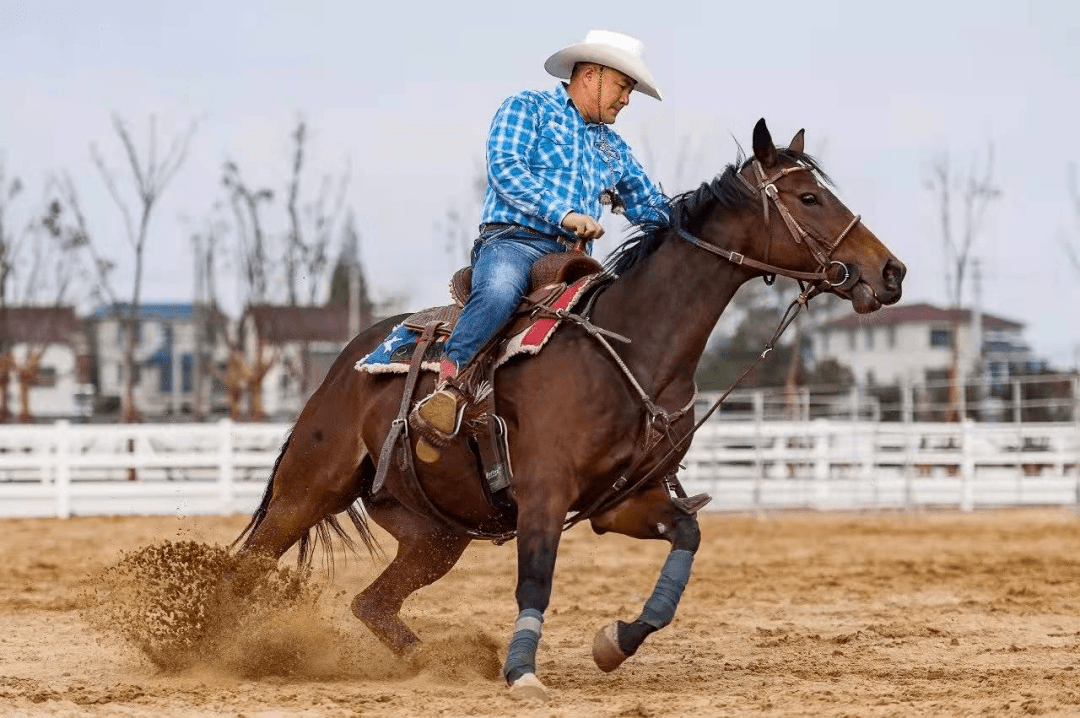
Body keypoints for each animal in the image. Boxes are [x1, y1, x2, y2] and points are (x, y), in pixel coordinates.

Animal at [232, 122, 907, 699]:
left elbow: (686, 537)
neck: (634, 349)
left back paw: (442, 662)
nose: (892, 271)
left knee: (371, 603)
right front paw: (522, 674)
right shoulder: (545, 492)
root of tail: (347, 360)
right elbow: (537, 578)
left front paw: (614, 643)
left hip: (435, 535)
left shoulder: (623, 500)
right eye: (808, 196)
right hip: (308, 488)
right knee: (250, 562)